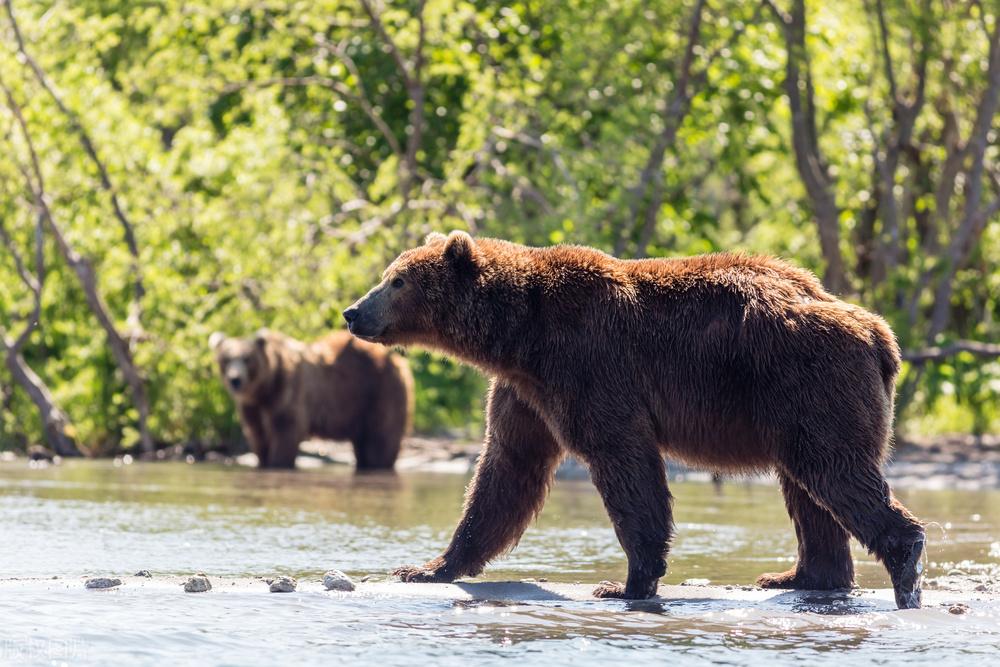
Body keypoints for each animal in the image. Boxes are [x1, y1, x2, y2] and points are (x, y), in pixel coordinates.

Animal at [211, 328, 414, 470]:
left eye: (247, 358)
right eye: (226, 359)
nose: (235, 379)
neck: (264, 388)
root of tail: (398, 361)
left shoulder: (288, 393)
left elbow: (287, 429)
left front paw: (278, 462)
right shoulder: (252, 407)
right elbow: (257, 433)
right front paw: (263, 461)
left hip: (379, 392)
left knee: (380, 440)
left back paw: (377, 464)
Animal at [344, 231, 928, 612]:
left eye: (397, 281)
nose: (353, 312)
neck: (518, 336)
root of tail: (879, 334)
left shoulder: (590, 367)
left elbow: (624, 464)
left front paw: (626, 582)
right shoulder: (524, 392)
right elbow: (505, 473)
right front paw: (427, 567)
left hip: (806, 380)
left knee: (834, 471)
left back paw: (905, 565)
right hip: (796, 402)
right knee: (808, 489)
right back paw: (797, 576)